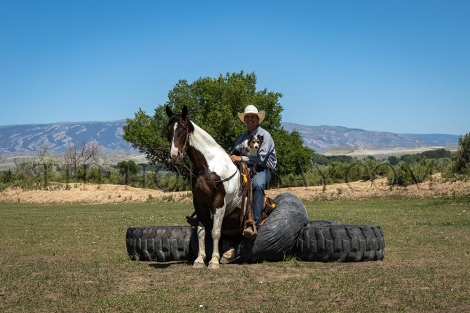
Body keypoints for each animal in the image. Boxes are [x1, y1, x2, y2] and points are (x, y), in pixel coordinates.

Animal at [166, 105, 246, 268]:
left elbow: (215, 231)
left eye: (183, 128)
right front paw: (199, 259)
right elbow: (201, 232)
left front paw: (214, 261)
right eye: (168, 129)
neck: (208, 167)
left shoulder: (219, 202)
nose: (174, 156)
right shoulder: (199, 203)